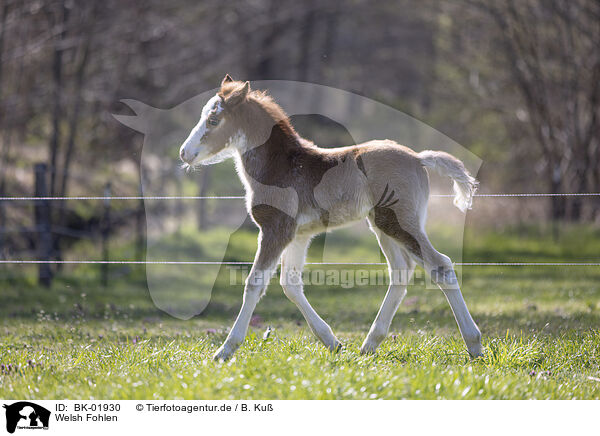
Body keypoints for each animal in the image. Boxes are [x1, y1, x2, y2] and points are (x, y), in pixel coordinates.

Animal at [178, 76, 482, 362]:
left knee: (440, 266)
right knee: (401, 271)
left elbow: (255, 283)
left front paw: (225, 350)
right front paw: (332, 342)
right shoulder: (298, 235)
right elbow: (290, 284)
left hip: (400, 222)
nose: (184, 153)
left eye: (213, 120)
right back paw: (369, 345)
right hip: (382, 224)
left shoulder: (276, 229)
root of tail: (419, 158)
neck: (281, 166)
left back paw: (474, 345)